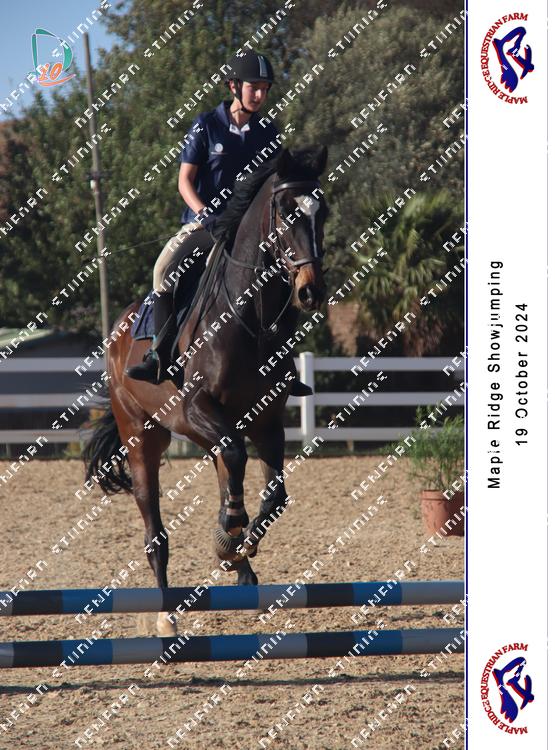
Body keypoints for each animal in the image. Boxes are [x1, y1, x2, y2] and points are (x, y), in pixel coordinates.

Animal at [83, 145, 328, 635]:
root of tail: (120, 325)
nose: (311, 291)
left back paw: (240, 565)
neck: (250, 318)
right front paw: (230, 534)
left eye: (322, 213)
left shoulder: (267, 418)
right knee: (155, 530)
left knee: (225, 465)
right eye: (286, 210)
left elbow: (274, 495)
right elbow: (237, 464)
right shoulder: (198, 406)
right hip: (144, 435)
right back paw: (166, 617)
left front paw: (236, 544)